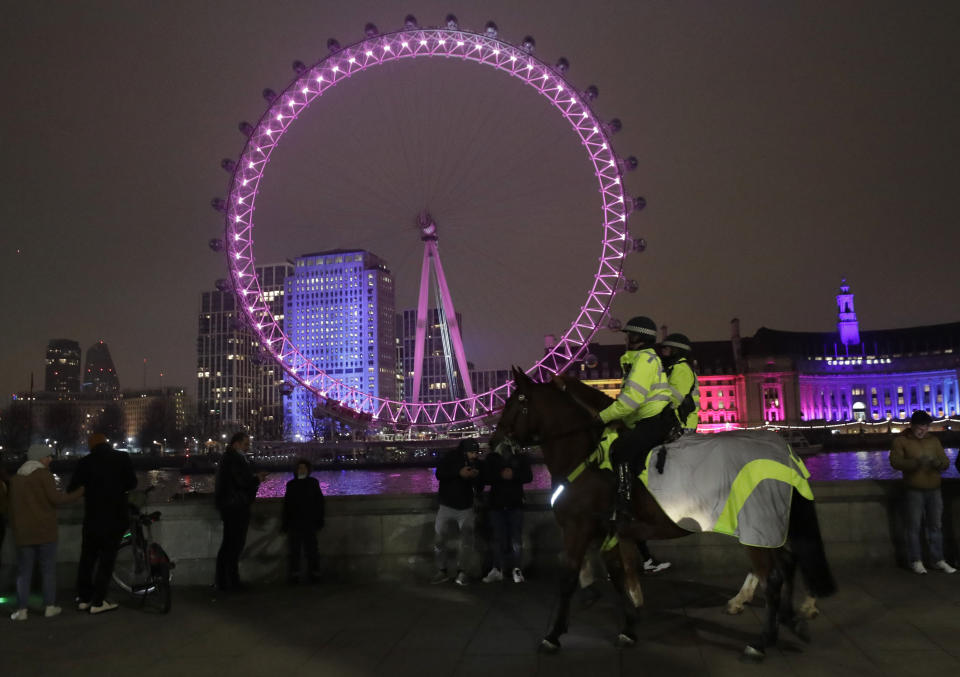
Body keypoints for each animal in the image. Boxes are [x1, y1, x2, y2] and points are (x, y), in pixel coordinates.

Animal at [492, 370, 836, 660]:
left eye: (514, 403)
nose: (495, 443)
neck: (586, 454)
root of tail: (784, 449)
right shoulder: (609, 529)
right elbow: (616, 573)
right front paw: (629, 625)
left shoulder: (579, 526)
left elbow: (568, 577)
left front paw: (553, 634)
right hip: (768, 525)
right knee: (789, 562)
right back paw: (789, 618)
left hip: (757, 524)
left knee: (773, 576)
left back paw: (763, 639)